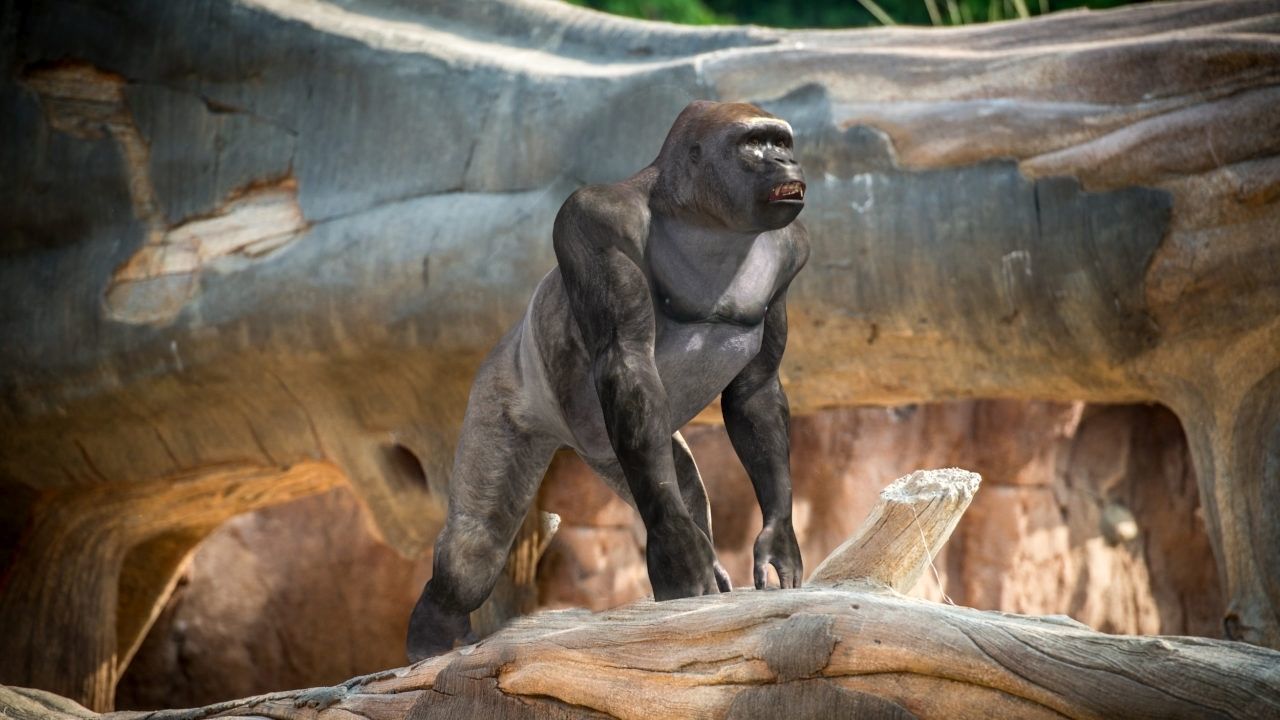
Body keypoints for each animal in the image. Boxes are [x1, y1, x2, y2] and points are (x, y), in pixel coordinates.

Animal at [407, 100, 809, 660]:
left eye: (782, 142)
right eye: (755, 144)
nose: (785, 161)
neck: (699, 215)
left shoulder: (791, 251)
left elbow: (755, 395)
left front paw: (777, 538)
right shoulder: (592, 222)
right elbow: (627, 360)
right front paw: (680, 556)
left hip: (612, 451)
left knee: (680, 482)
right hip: (504, 388)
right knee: (473, 550)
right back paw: (430, 636)